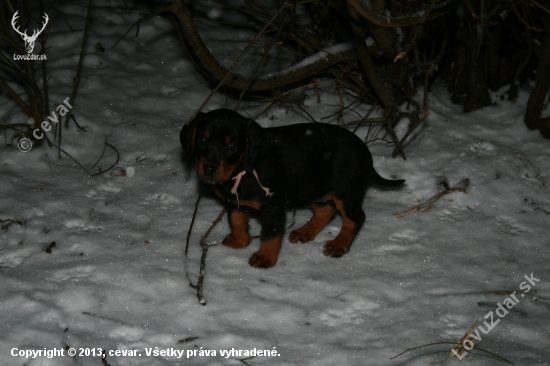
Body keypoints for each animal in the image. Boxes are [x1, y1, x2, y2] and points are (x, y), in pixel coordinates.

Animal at [182, 109, 406, 268]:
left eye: (232, 146)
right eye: (201, 139)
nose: (209, 167)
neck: (242, 172)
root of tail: (365, 153)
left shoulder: (273, 209)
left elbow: (269, 234)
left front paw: (265, 258)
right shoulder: (233, 201)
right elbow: (236, 219)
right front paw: (239, 240)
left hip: (345, 191)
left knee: (355, 217)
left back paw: (338, 244)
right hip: (311, 188)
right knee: (327, 210)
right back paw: (305, 232)